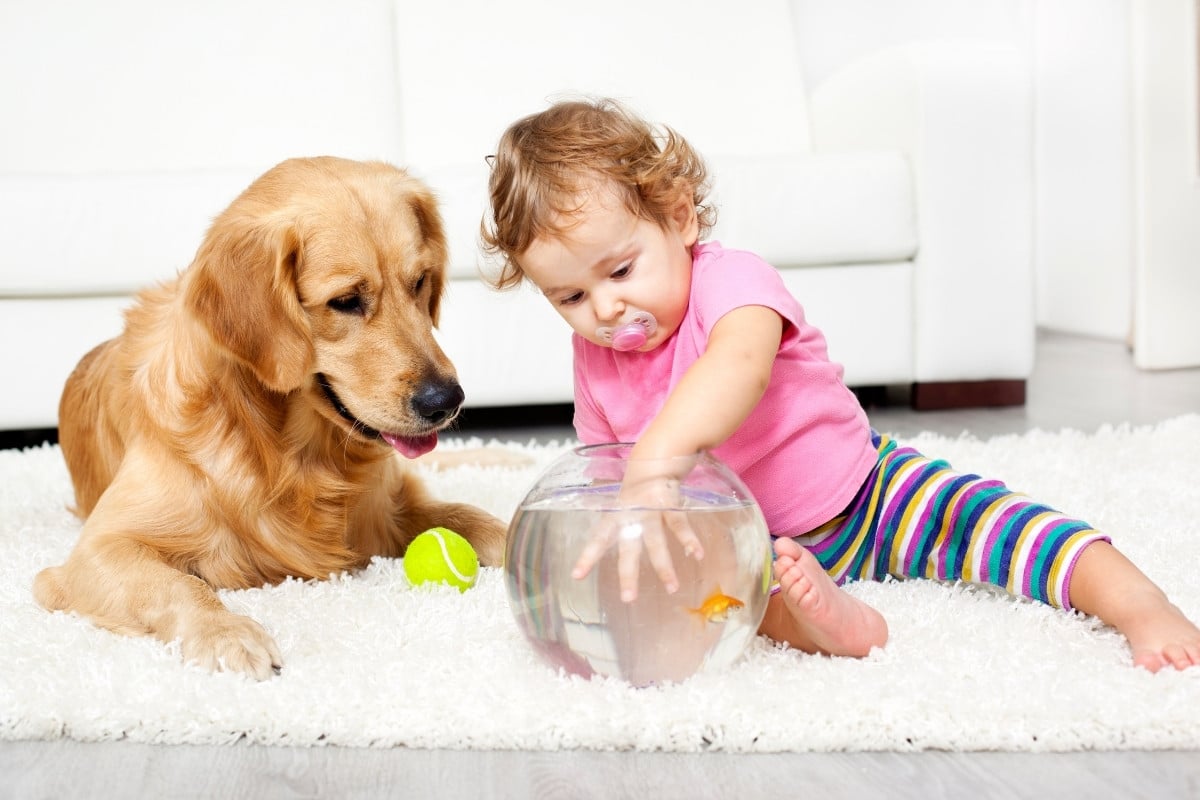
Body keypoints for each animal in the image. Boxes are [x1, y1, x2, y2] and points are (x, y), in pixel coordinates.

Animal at [35, 158, 508, 681]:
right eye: (346, 301)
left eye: (420, 281)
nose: (446, 400)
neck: (287, 451)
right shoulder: (97, 551)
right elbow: (178, 585)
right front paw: (226, 632)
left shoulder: (386, 510)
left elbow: (472, 516)